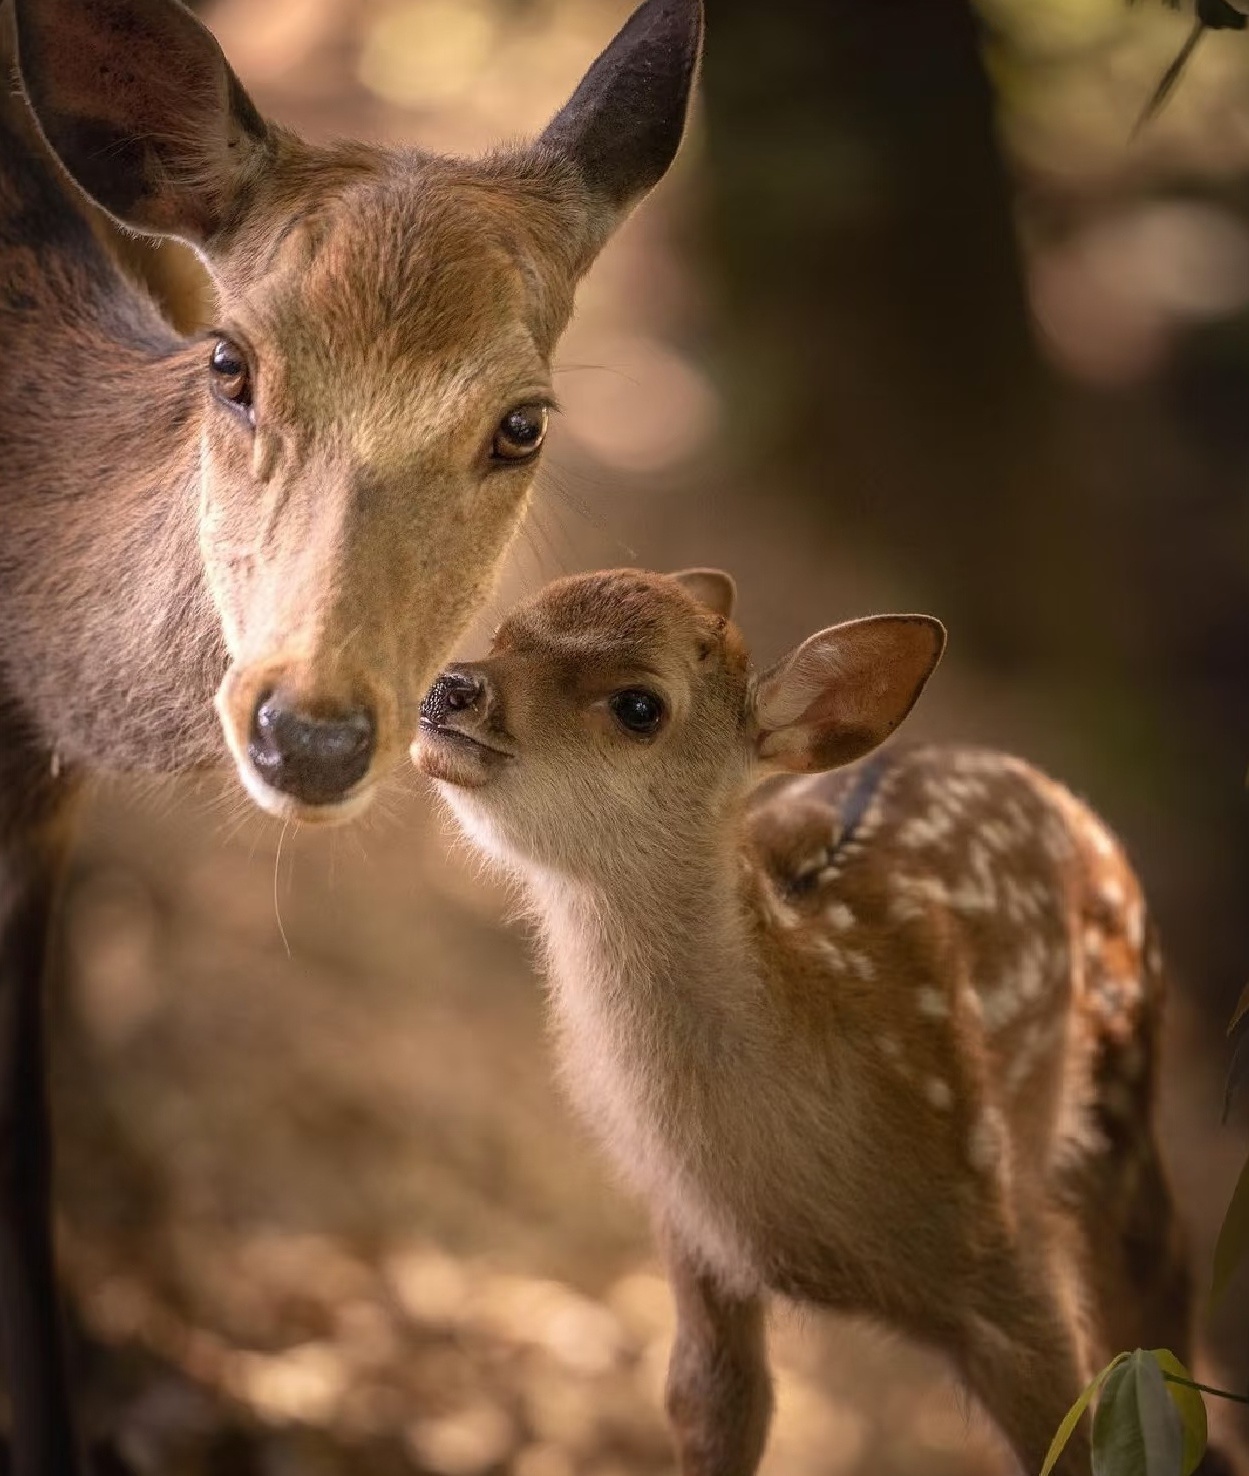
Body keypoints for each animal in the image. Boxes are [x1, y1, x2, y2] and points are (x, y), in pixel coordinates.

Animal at [414, 566, 1206, 1476]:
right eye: (507, 630)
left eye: (639, 705)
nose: (451, 686)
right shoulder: (695, 1240)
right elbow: (714, 1406)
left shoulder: (1003, 1254)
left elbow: (1075, 1437)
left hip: (1120, 1099)